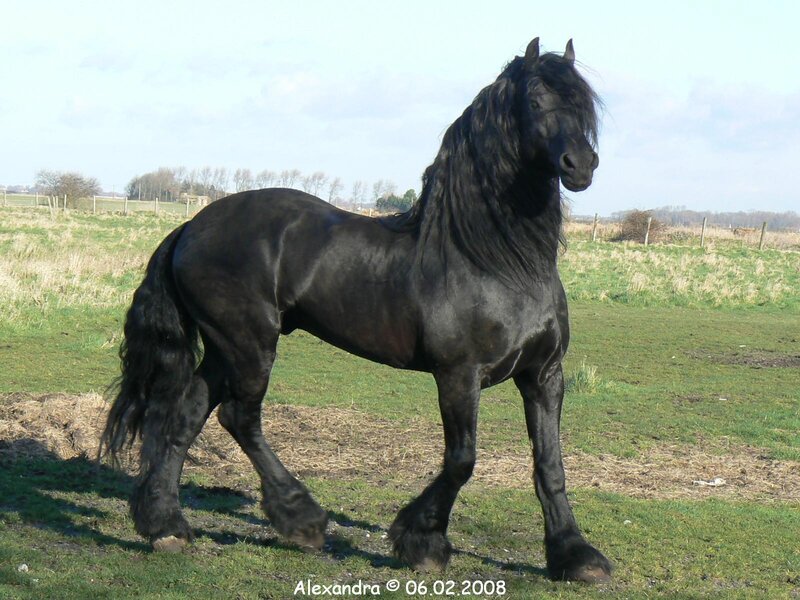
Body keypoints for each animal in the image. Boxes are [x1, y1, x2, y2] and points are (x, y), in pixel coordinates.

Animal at [101, 37, 611, 583]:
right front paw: (421, 541)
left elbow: (549, 464)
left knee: (186, 417)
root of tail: (190, 226)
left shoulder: (544, 375)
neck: (497, 260)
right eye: (535, 100)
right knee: (240, 417)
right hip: (250, 344)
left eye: (583, 106)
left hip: (224, 349)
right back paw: (301, 519)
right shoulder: (458, 374)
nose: (581, 164)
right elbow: (462, 460)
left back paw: (166, 525)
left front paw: (576, 554)